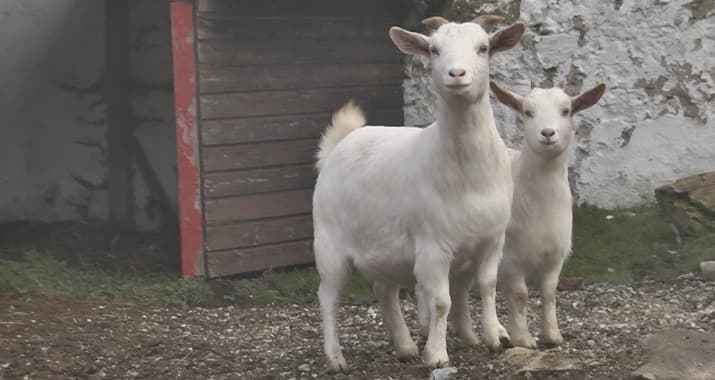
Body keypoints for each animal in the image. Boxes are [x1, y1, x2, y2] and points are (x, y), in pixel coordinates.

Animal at [314, 15, 524, 372]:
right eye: (434, 50)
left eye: (483, 48)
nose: (457, 74)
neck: (469, 176)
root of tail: (341, 143)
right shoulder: (433, 247)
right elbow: (440, 302)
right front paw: (437, 355)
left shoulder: (492, 242)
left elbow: (488, 286)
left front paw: (496, 336)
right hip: (329, 248)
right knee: (328, 298)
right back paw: (335, 358)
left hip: (385, 249)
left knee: (384, 290)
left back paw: (405, 347)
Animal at [492, 80, 604, 348]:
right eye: (527, 112)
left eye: (566, 111)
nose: (547, 133)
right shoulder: (509, 258)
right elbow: (520, 296)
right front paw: (523, 339)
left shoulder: (555, 255)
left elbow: (550, 292)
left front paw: (552, 336)